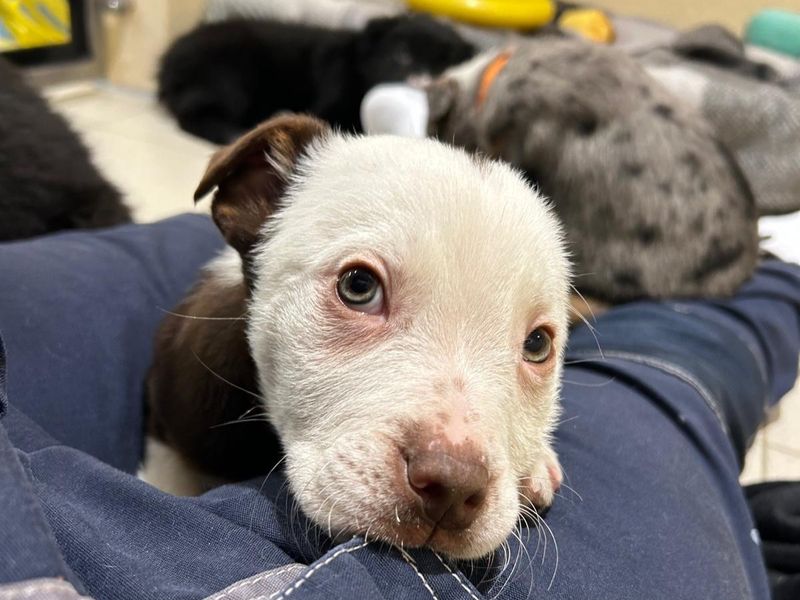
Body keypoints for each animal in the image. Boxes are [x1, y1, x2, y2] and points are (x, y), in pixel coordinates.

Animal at [155, 14, 476, 144]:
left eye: (448, 65)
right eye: (402, 54)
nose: (423, 82)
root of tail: (168, 58)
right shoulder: (332, 102)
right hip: (229, 78)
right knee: (193, 115)